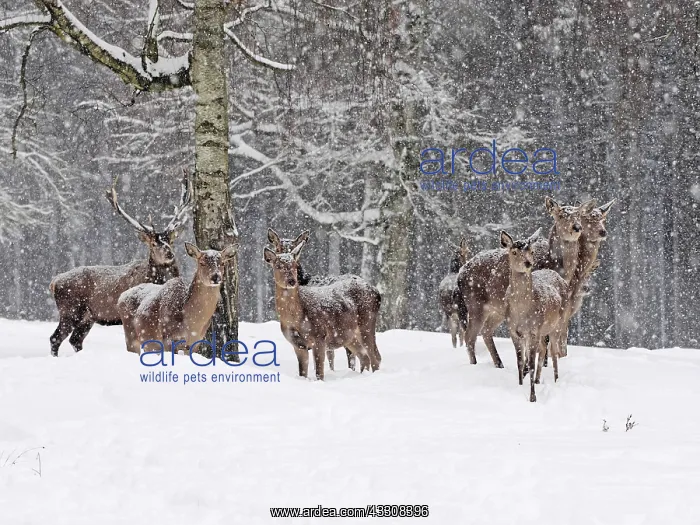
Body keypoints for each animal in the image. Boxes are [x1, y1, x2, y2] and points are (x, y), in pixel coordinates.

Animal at [49, 175, 191, 357]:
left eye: (171, 241)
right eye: (153, 244)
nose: (169, 254)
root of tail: (54, 281)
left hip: (88, 317)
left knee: (75, 340)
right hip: (69, 309)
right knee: (55, 338)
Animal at [454, 197, 589, 369]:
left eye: (579, 215)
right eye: (561, 215)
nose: (576, 227)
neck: (555, 265)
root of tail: (460, 274)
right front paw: (542, 364)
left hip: (496, 309)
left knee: (486, 331)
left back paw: (499, 364)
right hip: (475, 303)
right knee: (470, 335)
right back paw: (475, 364)